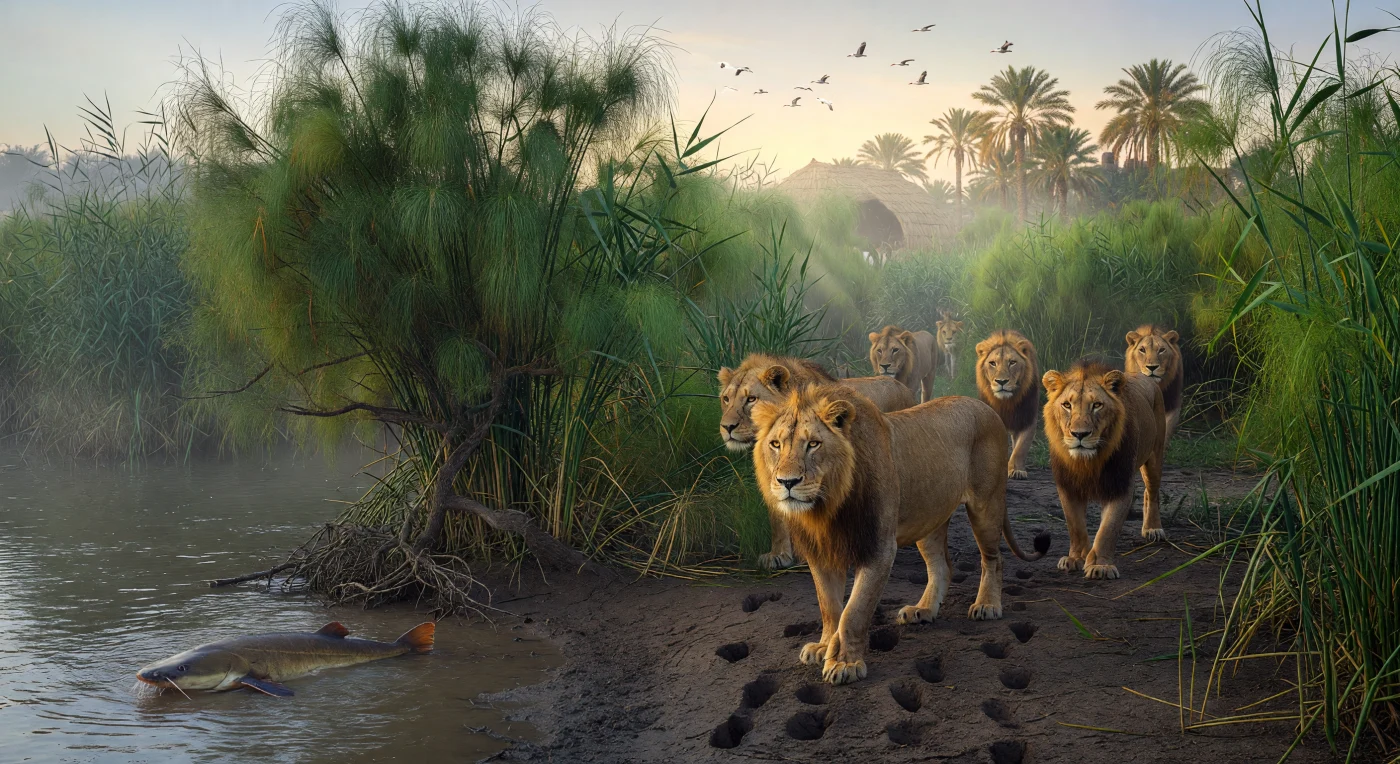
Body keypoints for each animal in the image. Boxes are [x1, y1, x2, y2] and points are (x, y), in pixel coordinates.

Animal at [718, 354, 916, 570]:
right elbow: (777, 517)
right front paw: (779, 555)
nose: (727, 427)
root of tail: (901, 385)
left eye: (751, 399)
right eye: (726, 399)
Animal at [751, 381, 1048, 685]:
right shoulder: (822, 551)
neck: (826, 507)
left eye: (813, 444)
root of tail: (986, 407)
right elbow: (829, 607)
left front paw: (845, 662)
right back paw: (923, 610)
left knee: (993, 559)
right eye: (775, 444)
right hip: (929, 518)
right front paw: (824, 646)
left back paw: (987, 605)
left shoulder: (879, 548)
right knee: (942, 566)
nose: (787, 482)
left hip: (986, 504)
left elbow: (854, 611)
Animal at [975, 330, 1040, 480]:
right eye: (992, 363)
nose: (1001, 381)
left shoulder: (1027, 418)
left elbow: (1020, 448)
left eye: (1012, 362)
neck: (1006, 402)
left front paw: (1016, 470)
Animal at [1042, 360, 1167, 580]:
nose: (1079, 434)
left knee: (1151, 492)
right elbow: (1075, 525)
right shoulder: (1067, 485)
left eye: (1097, 405)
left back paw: (1153, 528)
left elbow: (1108, 528)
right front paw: (1075, 558)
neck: (1089, 461)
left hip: (1155, 455)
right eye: (1067, 405)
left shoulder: (1120, 484)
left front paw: (1100, 566)